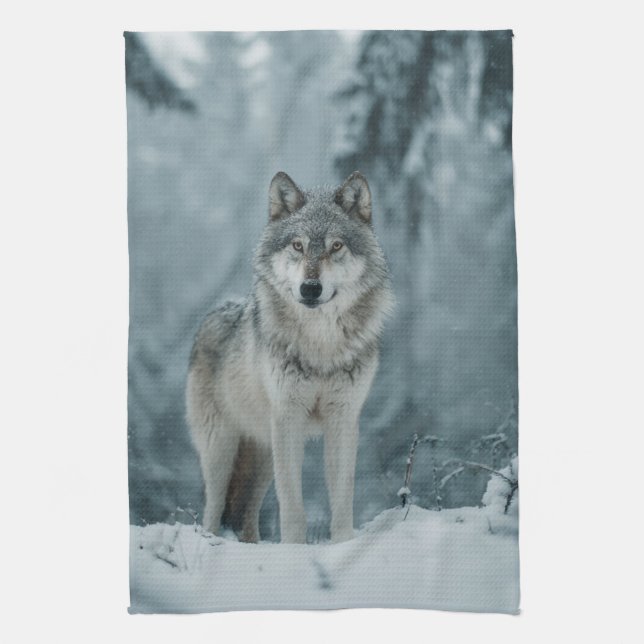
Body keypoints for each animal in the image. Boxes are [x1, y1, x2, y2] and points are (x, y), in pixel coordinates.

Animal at [186, 171, 393, 544]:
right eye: (297, 245)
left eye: (336, 246)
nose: (310, 288)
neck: (321, 344)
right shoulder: (288, 418)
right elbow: (292, 503)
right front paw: (295, 549)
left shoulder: (343, 418)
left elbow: (343, 496)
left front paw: (343, 543)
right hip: (222, 450)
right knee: (213, 508)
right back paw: (211, 542)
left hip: (262, 455)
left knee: (245, 514)